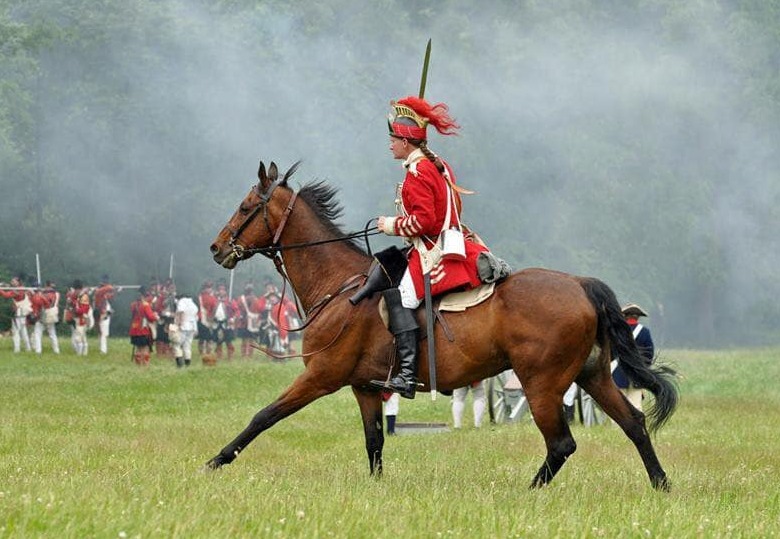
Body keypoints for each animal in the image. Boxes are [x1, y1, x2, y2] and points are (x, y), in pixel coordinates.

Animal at [207, 159, 676, 490]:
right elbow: (374, 439)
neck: (339, 286)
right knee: (634, 424)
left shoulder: (322, 376)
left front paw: (216, 460)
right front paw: (376, 486)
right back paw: (661, 485)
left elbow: (264, 416)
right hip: (592, 375)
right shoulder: (364, 387)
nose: (216, 248)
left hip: (541, 384)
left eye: (246, 207)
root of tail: (579, 285)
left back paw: (528, 491)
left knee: (562, 443)